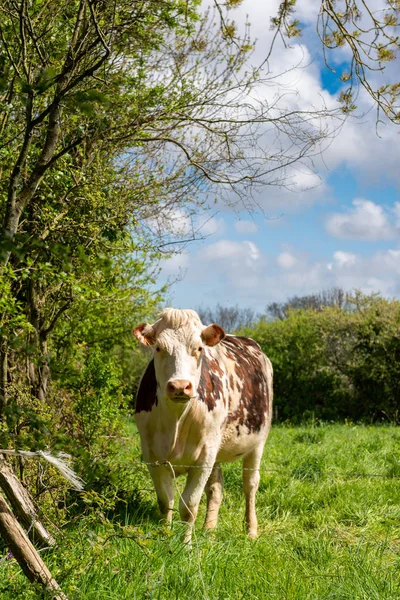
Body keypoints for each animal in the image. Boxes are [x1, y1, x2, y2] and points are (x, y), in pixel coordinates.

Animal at [133, 310, 274, 540]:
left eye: (199, 348)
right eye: (159, 348)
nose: (180, 386)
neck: (176, 419)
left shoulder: (203, 458)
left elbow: (188, 506)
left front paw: (185, 544)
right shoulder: (152, 455)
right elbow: (165, 501)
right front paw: (165, 537)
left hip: (257, 442)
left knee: (250, 484)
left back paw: (251, 530)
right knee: (215, 489)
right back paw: (209, 530)